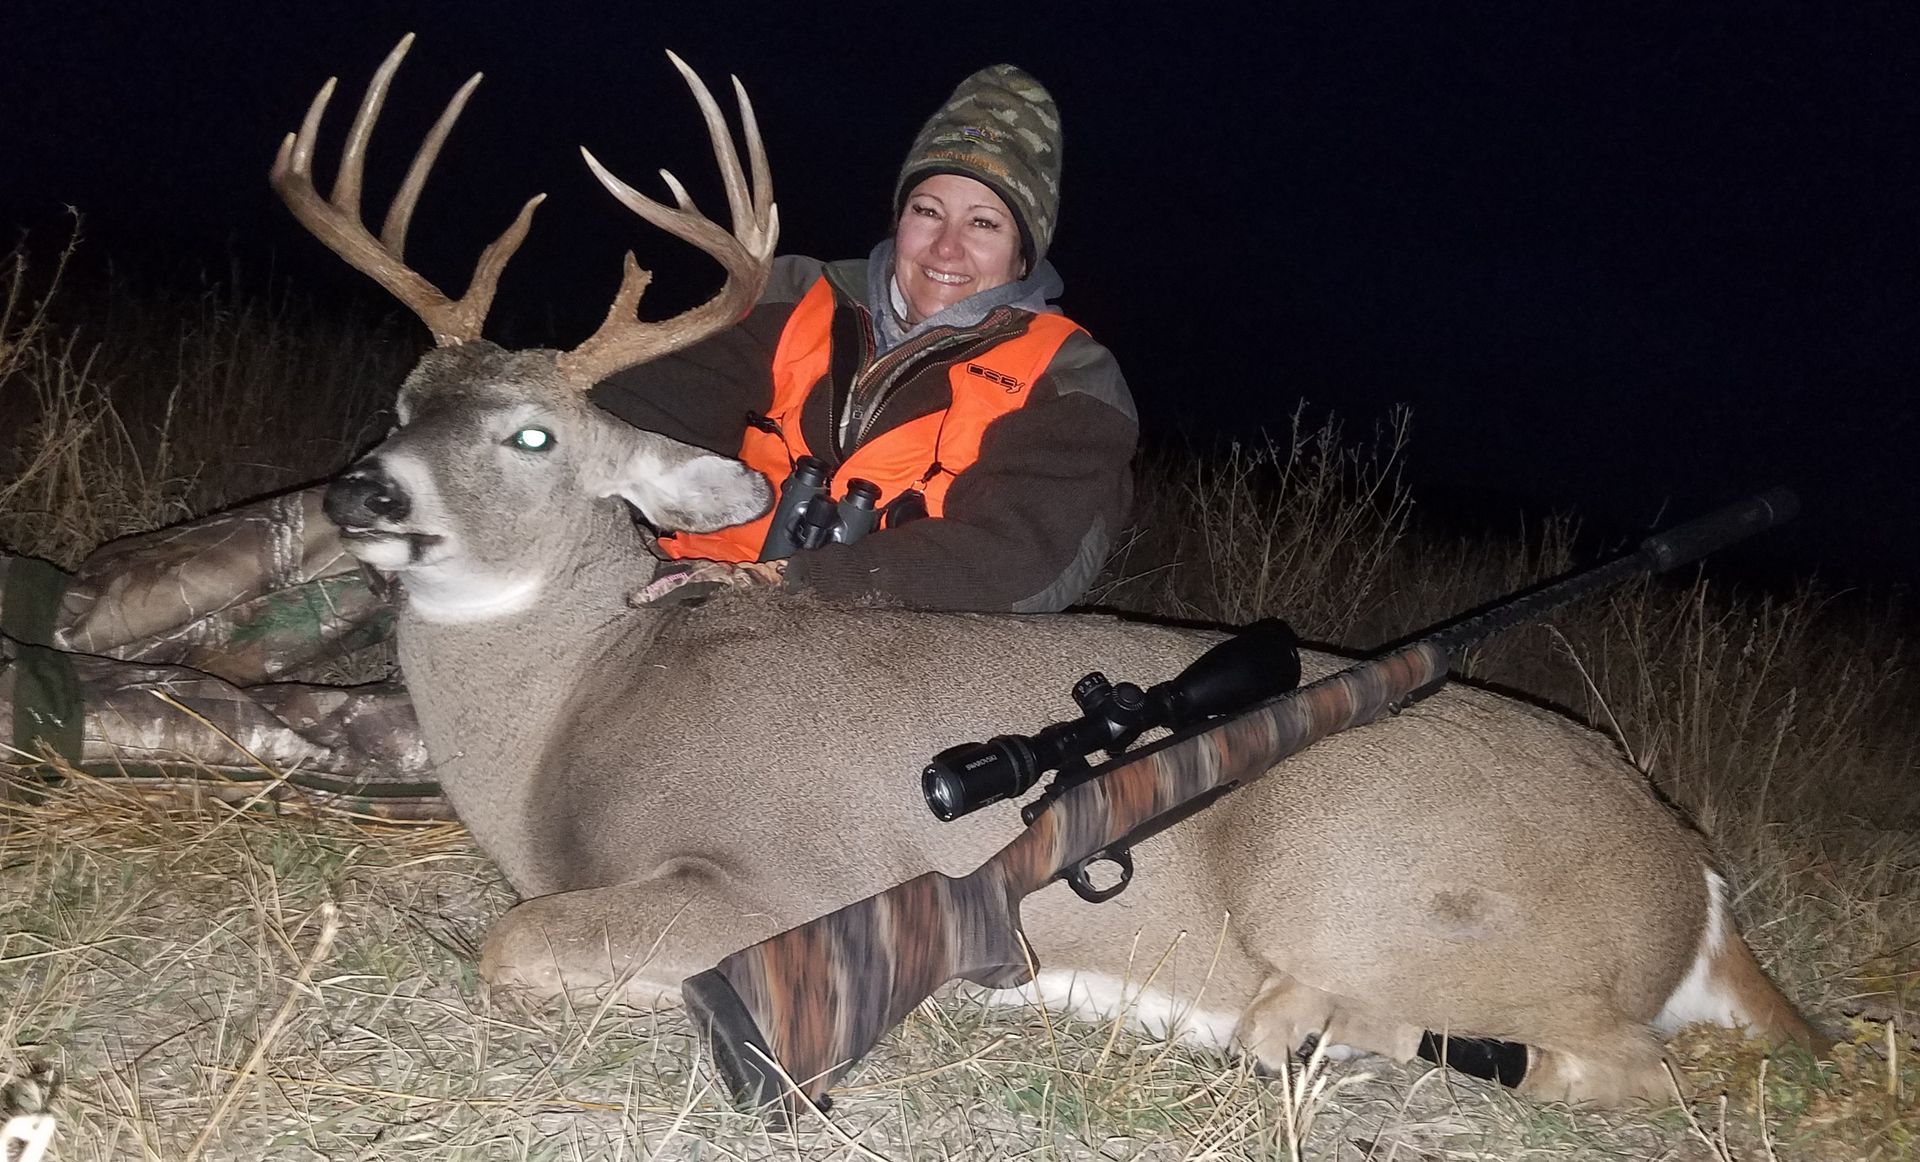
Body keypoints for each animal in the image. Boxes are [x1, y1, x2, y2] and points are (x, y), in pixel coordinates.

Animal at [284, 36, 1817, 1109]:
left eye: (534, 433)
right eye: (406, 397)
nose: (361, 489)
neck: (580, 708)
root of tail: (1699, 882)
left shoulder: (776, 883)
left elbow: (516, 945)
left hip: (1354, 882)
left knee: (1609, 1062)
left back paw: (1293, 1031)